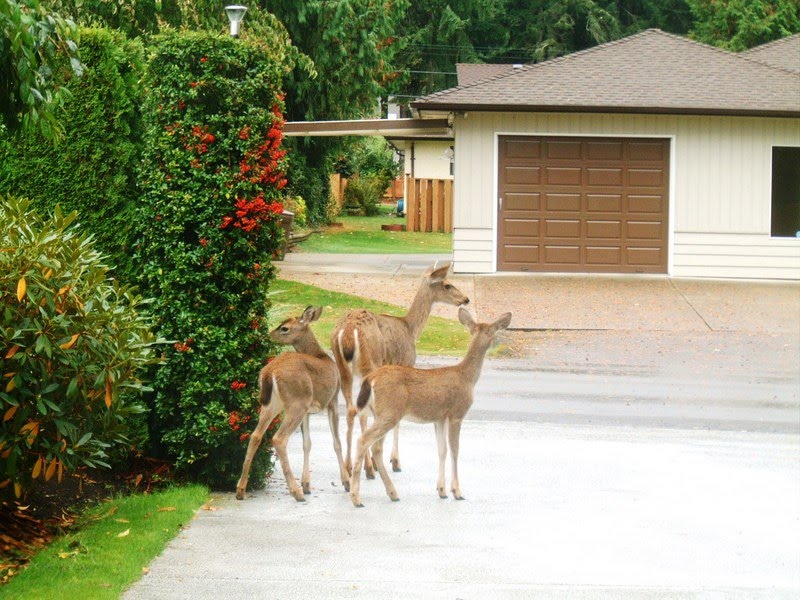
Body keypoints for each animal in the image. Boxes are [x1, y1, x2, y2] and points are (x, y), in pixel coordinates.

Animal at [238, 304, 350, 502]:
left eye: (284, 328)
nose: (269, 335)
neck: (321, 356)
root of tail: (270, 371)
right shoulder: (333, 399)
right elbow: (336, 442)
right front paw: (345, 482)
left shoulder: (309, 411)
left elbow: (307, 444)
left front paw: (307, 485)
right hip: (296, 402)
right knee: (279, 438)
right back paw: (296, 492)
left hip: (272, 403)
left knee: (255, 435)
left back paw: (240, 490)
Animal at [330, 262, 468, 478]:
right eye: (447, 284)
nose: (466, 299)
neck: (411, 329)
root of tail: (347, 332)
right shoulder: (406, 364)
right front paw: (394, 461)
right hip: (369, 362)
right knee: (361, 411)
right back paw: (368, 468)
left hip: (342, 365)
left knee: (351, 410)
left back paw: (348, 467)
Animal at [350, 308, 512, 508]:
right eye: (491, 331)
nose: (494, 341)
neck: (467, 377)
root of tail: (370, 379)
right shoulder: (457, 413)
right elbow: (455, 450)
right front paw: (457, 491)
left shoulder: (439, 417)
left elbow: (442, 450)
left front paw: (441, 490)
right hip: (390, 411)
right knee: (364, 440)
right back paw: (357, 498)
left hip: (380, 412)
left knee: (376, 447)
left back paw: (392, 493)